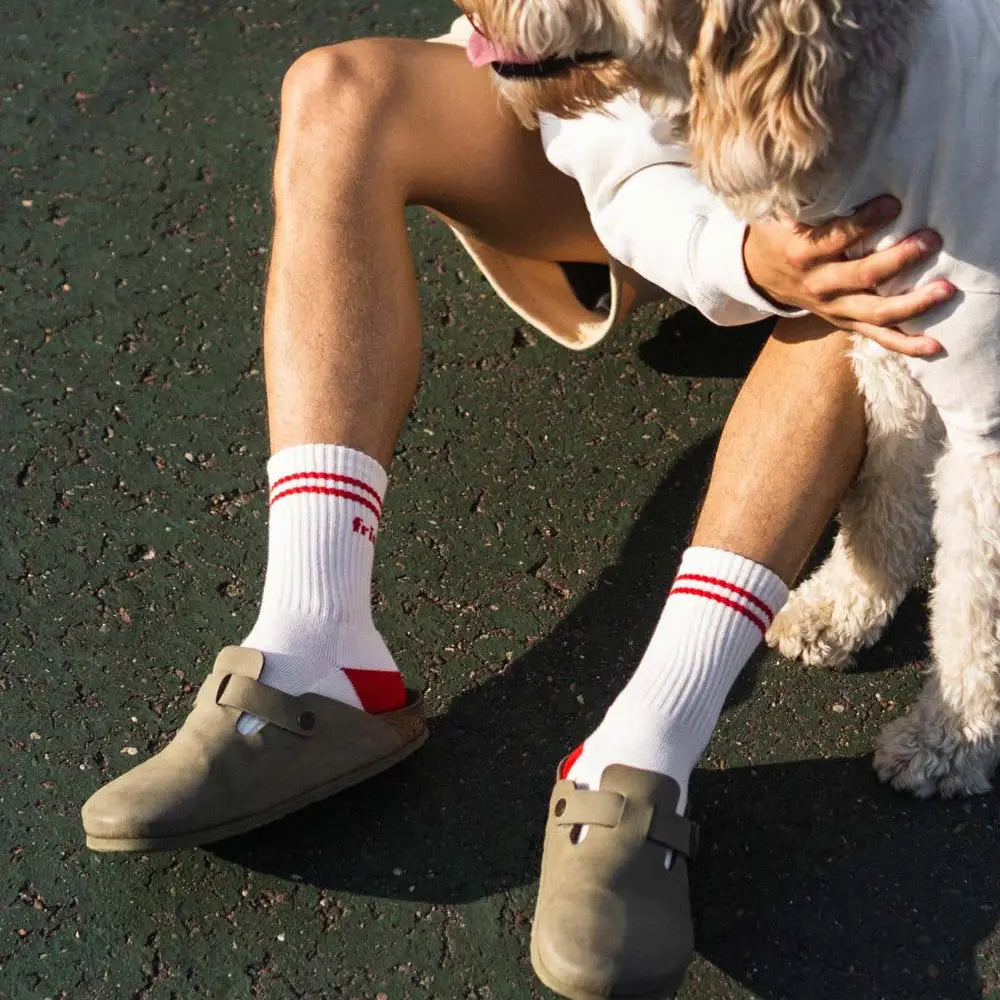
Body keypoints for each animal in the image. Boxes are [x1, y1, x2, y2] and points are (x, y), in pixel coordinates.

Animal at [462, 0, 1000, 796]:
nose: (468, 11)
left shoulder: (986, 425)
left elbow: (972, 608)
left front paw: (949, 744)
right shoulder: (894, 354)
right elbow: (881, 500)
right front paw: (843, 607)